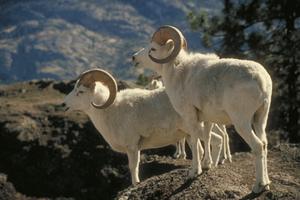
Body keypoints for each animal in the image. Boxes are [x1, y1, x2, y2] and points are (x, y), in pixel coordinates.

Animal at [63, 68, 225, 184]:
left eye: (80, 91)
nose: (64, 105)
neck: (112, 111)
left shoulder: (132, 147)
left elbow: (133, 167)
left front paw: (136, 184)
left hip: (197, 129)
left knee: (216, 140)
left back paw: (206, 166)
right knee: (210, 144)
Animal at [132, 25, 274, 192]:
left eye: (153, 49)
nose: (134, 58)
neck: (177, 73)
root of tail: (261, 80)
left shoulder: (190, 117)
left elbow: (195, 142)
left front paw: (194, 172)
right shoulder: (207, 119)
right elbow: (207, 138)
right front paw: (207, 166)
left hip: (242, 123)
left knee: (258, 146)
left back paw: (258, 186)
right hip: (260, 119)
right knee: (264, 144)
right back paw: (266, 184)